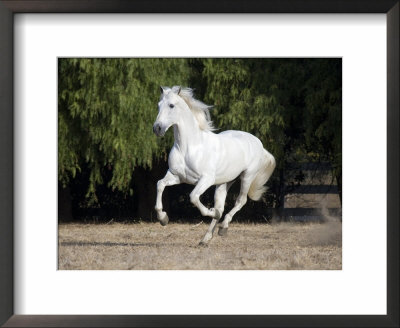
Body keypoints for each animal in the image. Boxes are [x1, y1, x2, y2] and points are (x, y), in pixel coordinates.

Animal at [153, 86, 276, 245]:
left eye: (171, 105)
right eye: (158, 105)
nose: (157, 128)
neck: (189, 147)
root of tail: (258, 142)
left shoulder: (206, 179)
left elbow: (193, 197)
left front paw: (211, 212)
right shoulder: (176, 176)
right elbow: (160, 184)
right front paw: (163, 219)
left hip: (247, 176)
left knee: (240, 201)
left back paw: (223, 227)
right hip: (224, 182)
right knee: (221, 206)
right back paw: (205, 238)